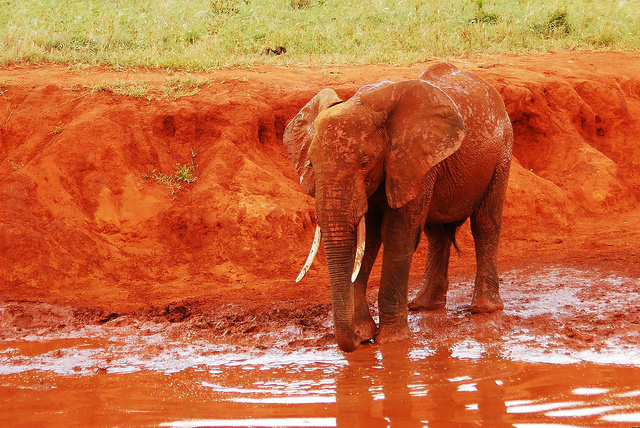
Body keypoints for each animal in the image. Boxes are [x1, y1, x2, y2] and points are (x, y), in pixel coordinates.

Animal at [282, 63, 512, 352]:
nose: (356, 340)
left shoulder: (412, 161)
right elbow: (367, 240)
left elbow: (396, 235)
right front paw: (365, 331)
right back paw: (424, 306)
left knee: (485, 224)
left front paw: (391, 340)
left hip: (502, 151)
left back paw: (484, 309)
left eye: (365, 162)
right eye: (311, 164)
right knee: (436, 233)